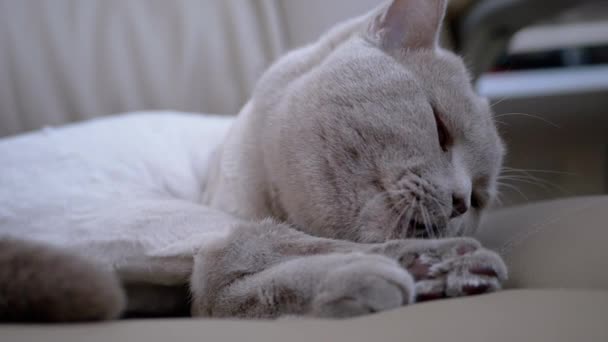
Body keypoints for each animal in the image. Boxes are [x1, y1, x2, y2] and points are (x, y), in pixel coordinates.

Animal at [0, 0, 504, 322]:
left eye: (480, 198)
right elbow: (249, 253)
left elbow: (219, 285)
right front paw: (431, 266)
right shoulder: (135, 218)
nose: (460, 200)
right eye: (440, 130)